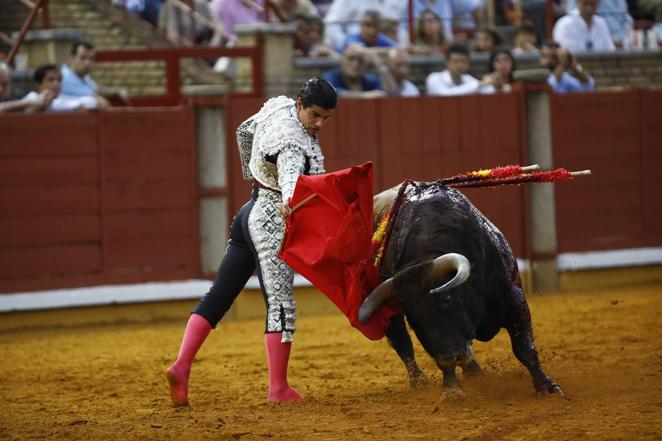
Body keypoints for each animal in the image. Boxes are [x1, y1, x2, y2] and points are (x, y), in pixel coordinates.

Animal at [360, 180, 564, 398]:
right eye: (414, 318)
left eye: (447, 298)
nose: (452, 355)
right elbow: (437, 358)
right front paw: (452, 390)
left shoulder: (514, 298)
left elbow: (524, 347)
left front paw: (546, 386)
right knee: (402, 343)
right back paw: (421, 381)